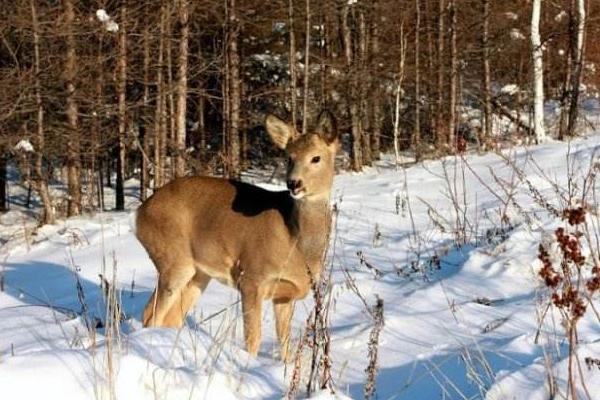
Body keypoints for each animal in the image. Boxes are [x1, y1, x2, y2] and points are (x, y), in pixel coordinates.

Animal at [134, 109, 338, 360]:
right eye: (289, 157)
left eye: (316, 158)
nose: (294, 183)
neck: (296, 243)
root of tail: (140, 213)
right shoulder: (250, 277)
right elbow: (253, 338)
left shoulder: (285, 293)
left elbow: (285, 342)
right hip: (173, 258)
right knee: (151, 316)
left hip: (199, 274)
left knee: (169, 318)